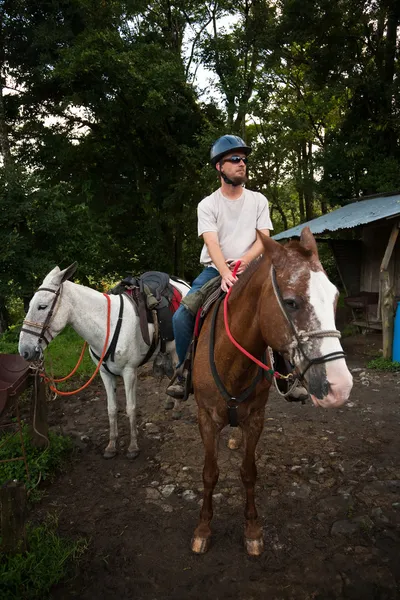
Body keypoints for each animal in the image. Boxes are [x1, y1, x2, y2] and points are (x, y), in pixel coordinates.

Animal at [19, 264, 191, 460]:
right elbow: (111, 409)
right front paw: (111, 446)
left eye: (42, 306)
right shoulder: (105, 373)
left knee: (181, 372)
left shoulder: (129, 372)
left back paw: (177, 406)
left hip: (180, 349)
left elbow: (131, 408)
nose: (24, 351)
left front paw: (133, 447)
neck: (107, 325)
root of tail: (183, 283)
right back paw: (170, 401)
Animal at [192, 227, 352, 556]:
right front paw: (203, 529)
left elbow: (249, 473)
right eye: (290, 302)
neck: (231, 361)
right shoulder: (206, 418)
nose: (340, 387)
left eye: (334, 297)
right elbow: (209, 473)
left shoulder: (256, 418)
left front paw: (252, 530)